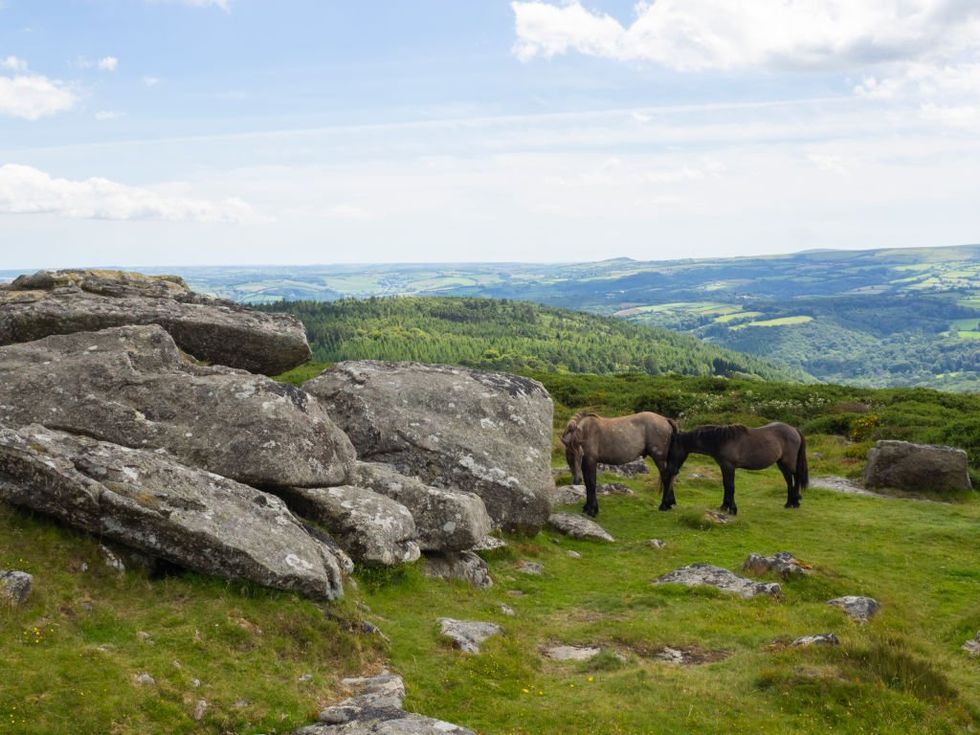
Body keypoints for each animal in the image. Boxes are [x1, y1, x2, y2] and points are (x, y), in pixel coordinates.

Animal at [662, 422, 808, 515]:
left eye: (671, 450)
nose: (671, 470)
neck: (721, 440)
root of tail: (794, 429)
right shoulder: (724, 467)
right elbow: (726, 485)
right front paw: (724, 507)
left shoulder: (729, 467)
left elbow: (731, 487)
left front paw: (732, 509)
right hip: (782, 463)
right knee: (789, 480)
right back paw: (789, 503)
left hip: (789, 462)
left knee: (796, 477)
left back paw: (795, 502)